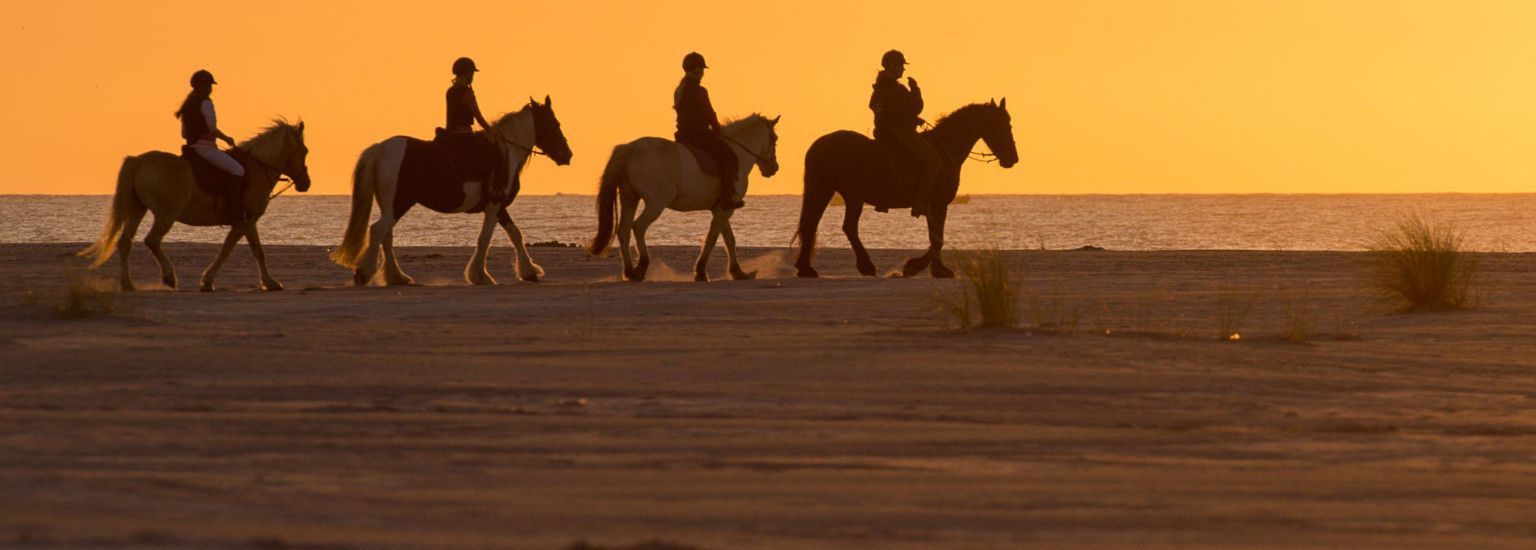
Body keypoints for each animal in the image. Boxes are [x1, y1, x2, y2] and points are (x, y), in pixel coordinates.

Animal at [82, 119, 316, 291]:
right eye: (304, 150)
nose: (306, 183)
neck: (257, 167)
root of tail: (139, 160)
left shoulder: (245, 222)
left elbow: (247, 249)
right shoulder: (246, 221)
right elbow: (240, 250)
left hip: (137, 209)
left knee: (125, 242)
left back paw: (128, 284)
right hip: (165, 215)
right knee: (152, 240)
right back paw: (168, 278)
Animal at [333, 96, 574, 285]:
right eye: (555, 123)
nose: (567, 155)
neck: (505, 152)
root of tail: (381, 148)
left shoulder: (499, 207)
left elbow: (515, 234)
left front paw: (529, 272)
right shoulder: (494, 205)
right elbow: (485, 238)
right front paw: (480, 275)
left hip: (391, 205)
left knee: (386, 235)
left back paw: (397, 277)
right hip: (400, 202)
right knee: (378, 230)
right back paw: (364, 273)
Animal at [586, 113, 780, 281]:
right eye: (774, 138)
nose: (774, 168)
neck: (737, 153)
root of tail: (632, 147)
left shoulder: (722, 208)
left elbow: (728, 239)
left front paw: (738, 272)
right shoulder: (725, 210)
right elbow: (712, 239)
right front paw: (701, 272)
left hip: (629, 199)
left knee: (624, 230)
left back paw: (629, 272)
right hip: (655, 203)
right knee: (638, 227)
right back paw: (641, 267)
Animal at [792, 99, 1019, 276]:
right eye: (1003, 125)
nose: (1013, 159)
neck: (945, 148)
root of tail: (820, 145)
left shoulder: (934, 206)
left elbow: (936, 236)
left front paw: (938, 269)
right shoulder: (939, 203)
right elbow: (937, 239)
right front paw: (916, 266)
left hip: (823, 190)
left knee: (811, 224)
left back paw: (806, 268)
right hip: (853, 196)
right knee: (848, 227)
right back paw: (866, 265)